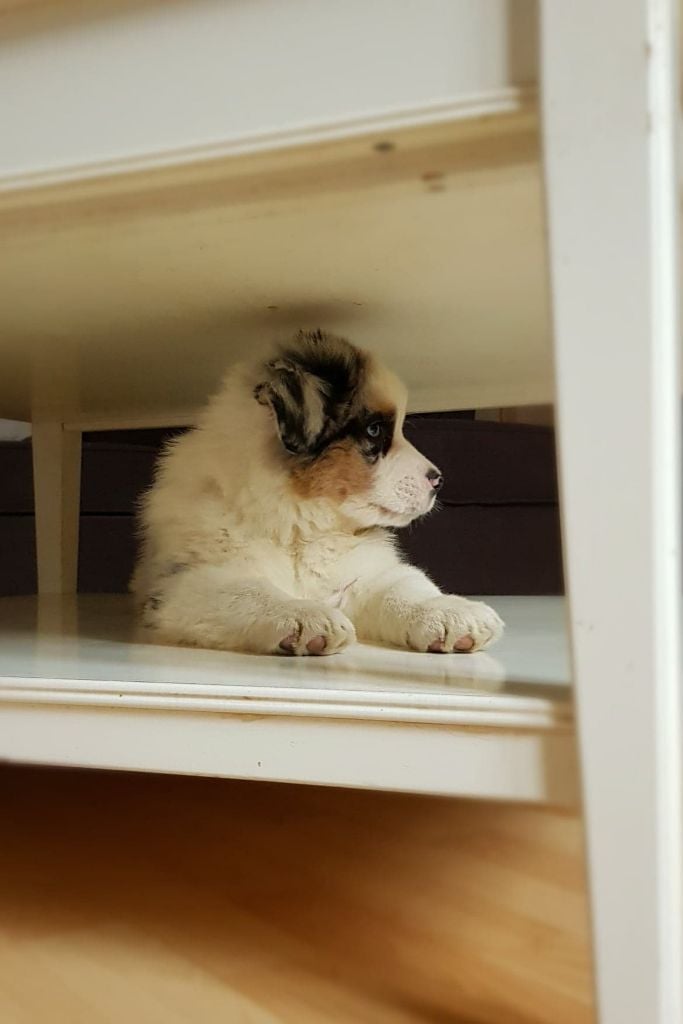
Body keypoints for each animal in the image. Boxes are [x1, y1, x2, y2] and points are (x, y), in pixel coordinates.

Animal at [132, 330, 504, 656]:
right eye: (374, 430)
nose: (438, 481)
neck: (299, 524)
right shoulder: (186, 583)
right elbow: (249, 590)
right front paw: (303, 616)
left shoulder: (362, 574)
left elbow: (404, 584)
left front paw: (450, 612)